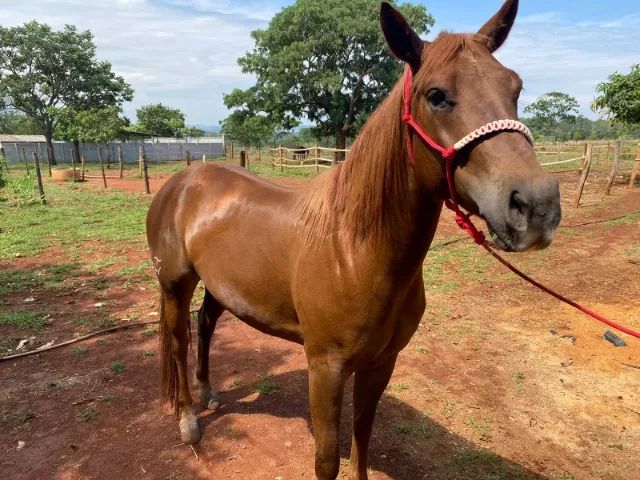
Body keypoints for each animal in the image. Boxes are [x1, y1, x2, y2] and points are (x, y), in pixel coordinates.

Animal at [146, 1, 560, 478]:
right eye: (436, 95)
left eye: (515, 88)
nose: (537, 205)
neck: (353, 250)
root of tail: (182, 181)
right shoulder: (325, 368)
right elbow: (327, 458)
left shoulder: (381, 363)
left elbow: (362, 436)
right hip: (175, 284)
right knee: (179, 338)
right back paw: (189, 420)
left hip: (221, 286)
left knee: (206, 323)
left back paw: (209, 392)